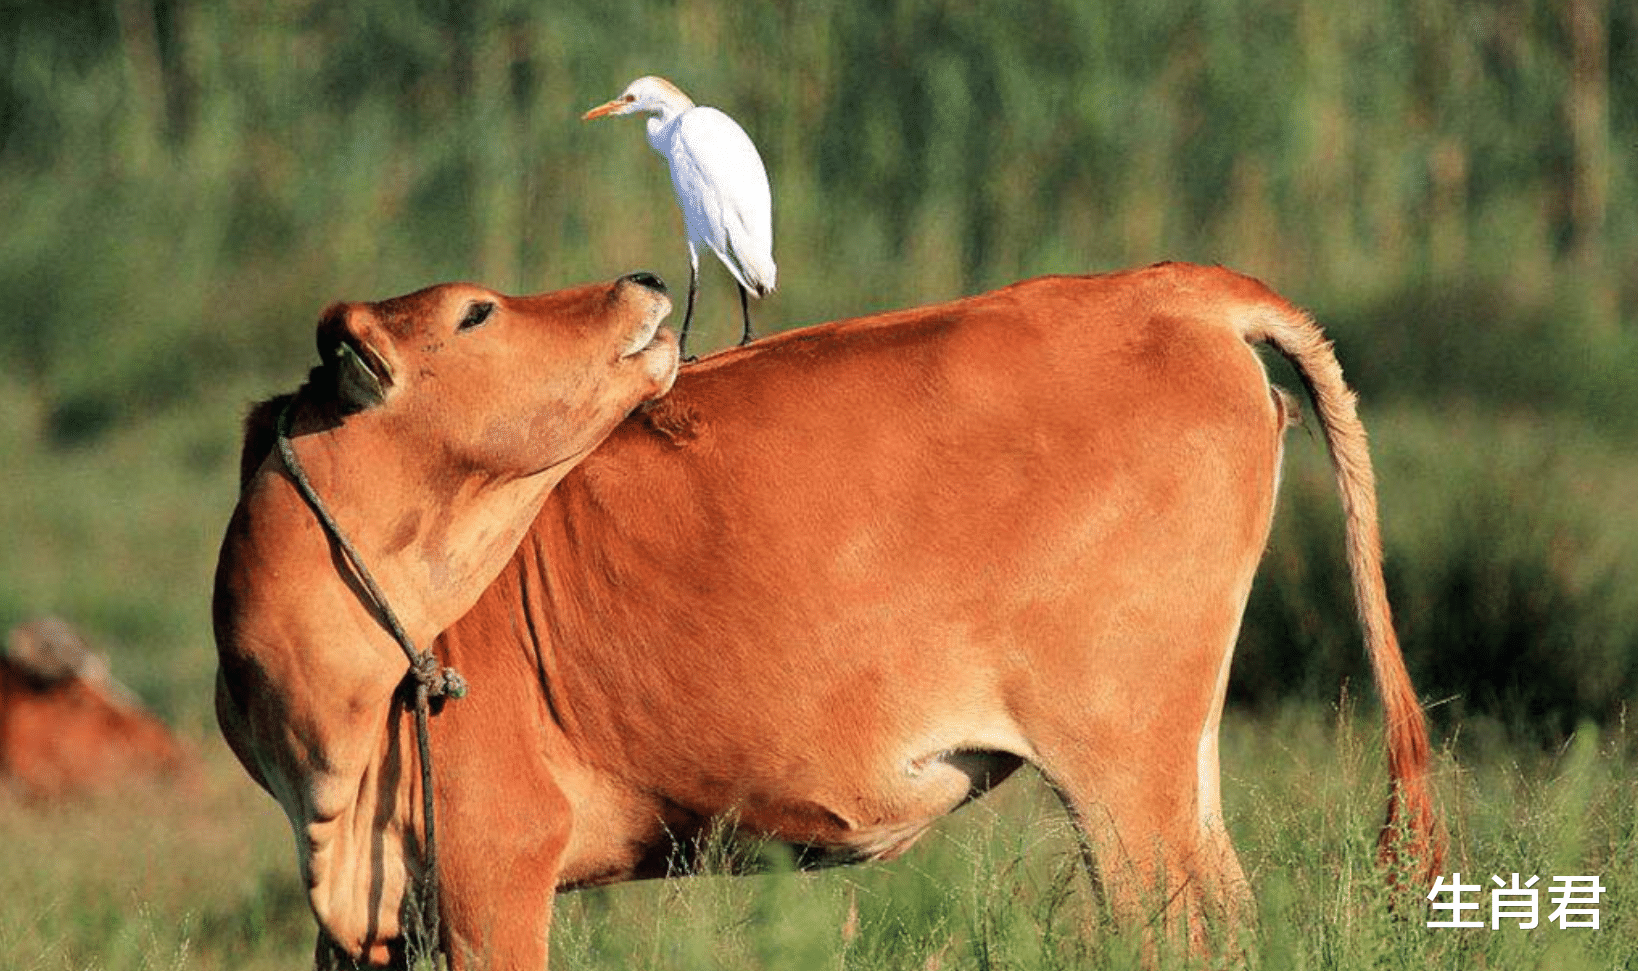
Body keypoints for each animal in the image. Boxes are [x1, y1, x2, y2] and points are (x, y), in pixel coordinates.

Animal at [214, 261, 1434, 962]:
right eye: (474, 313)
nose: (641, 276)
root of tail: (1170, 284)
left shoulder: (494, 861)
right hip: (1177, 753)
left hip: (1122, 762)